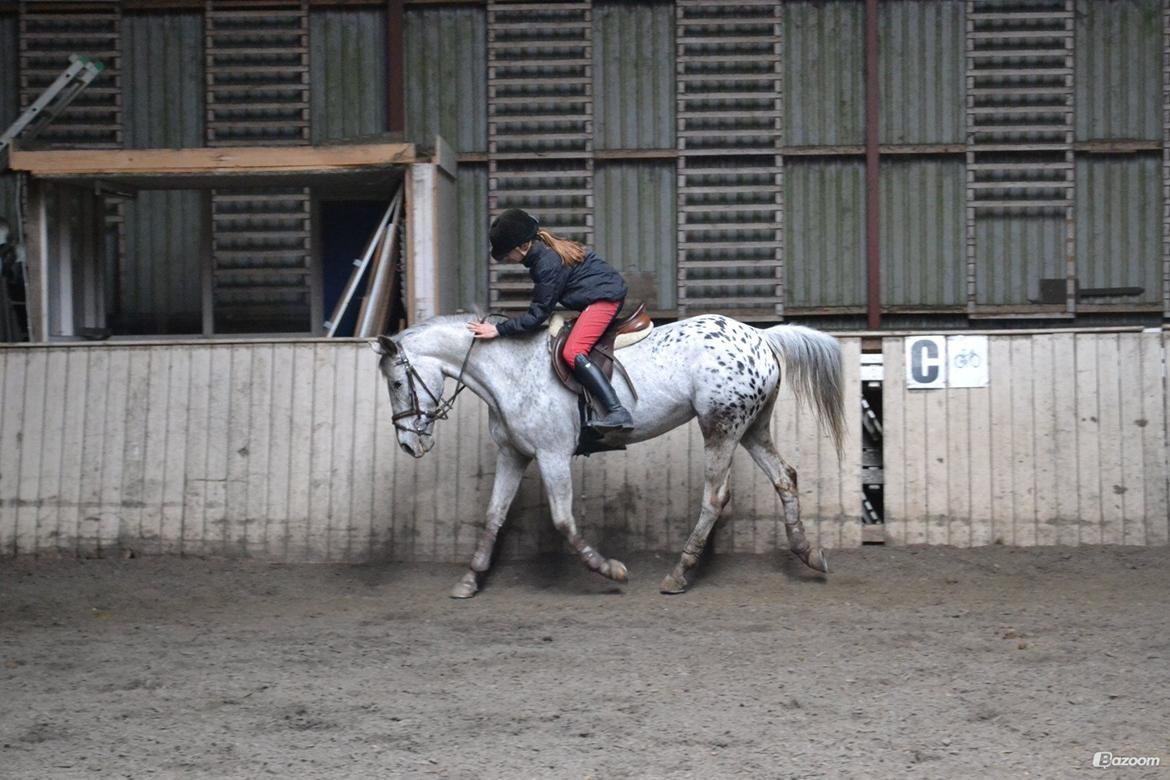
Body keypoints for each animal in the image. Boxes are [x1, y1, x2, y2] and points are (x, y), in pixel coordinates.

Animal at [371, 312, 845, 598]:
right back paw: (809, 553)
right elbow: (493, 516)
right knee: (785, 476)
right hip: (751, 428)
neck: (510, 373)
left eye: (395, 383)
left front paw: (609, 569)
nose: (410, 444)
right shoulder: (513, 455)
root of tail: (760, 335)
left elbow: (564, 520)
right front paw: (470, 579)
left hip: (721, 427)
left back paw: (679, 573)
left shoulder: (552, 454)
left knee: (715, 498)